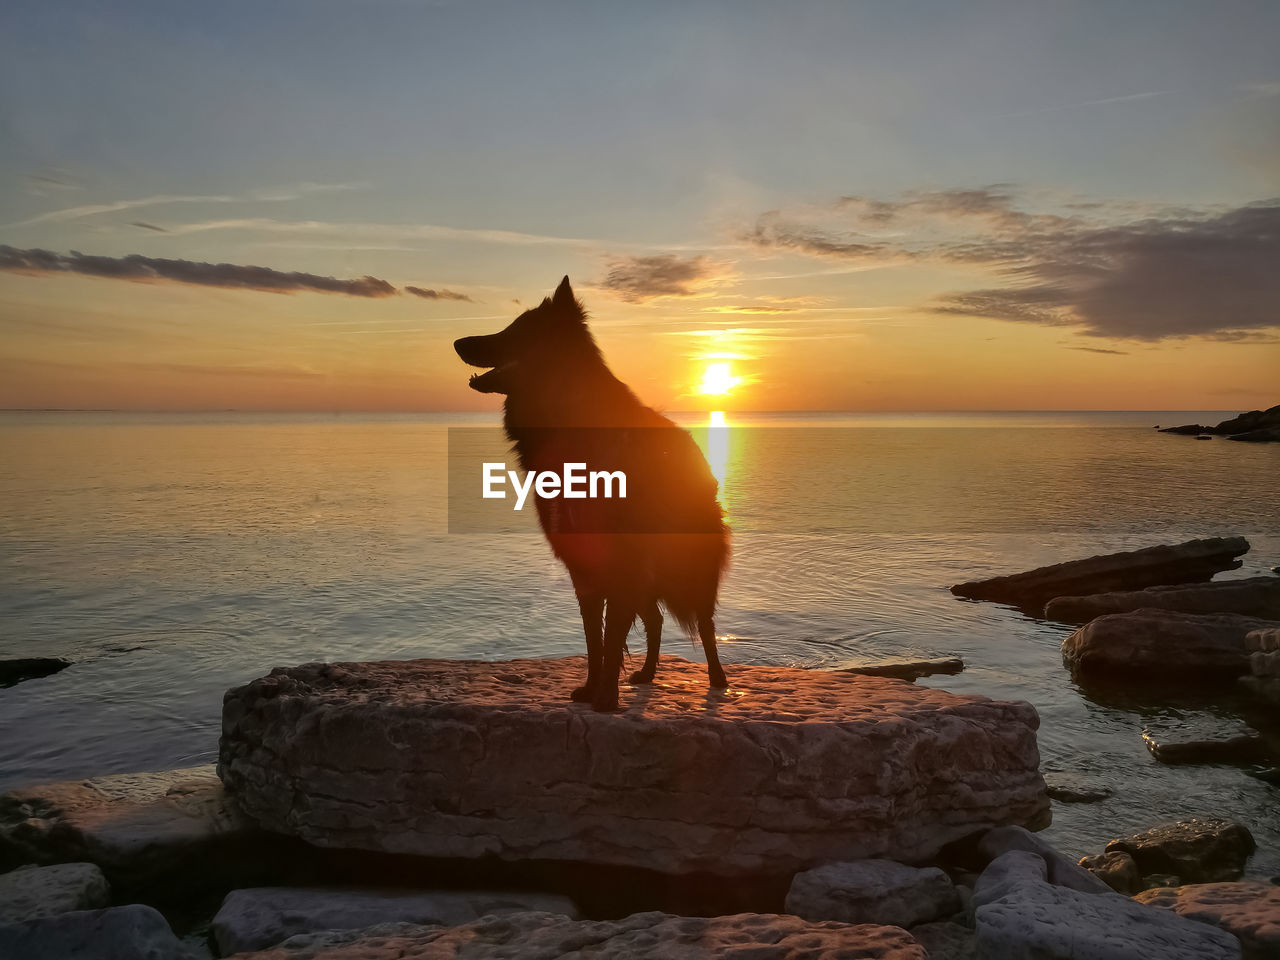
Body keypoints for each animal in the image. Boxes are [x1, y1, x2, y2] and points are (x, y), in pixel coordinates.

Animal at [455, 273, 732, 711]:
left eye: (515, 331)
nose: (458, 343)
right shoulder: (583, 564)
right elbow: (595, 641)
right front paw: (591, 689)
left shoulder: (621, 562)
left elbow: (612, 635)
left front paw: (605, 698)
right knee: (655, 619)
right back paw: (648, 673)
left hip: (686, 567)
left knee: (704, 623)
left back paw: (719, 678)